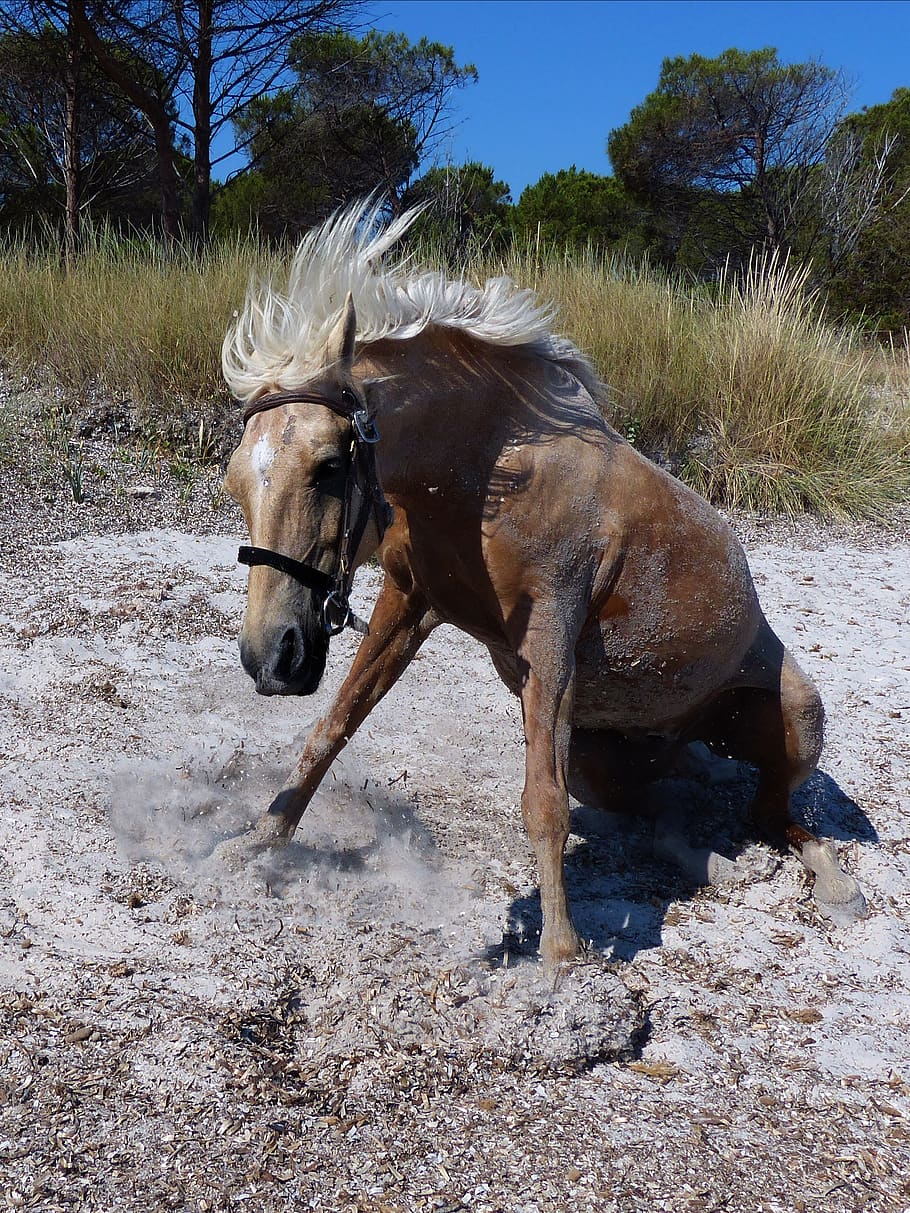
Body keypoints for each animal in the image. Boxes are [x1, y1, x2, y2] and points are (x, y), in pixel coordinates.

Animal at [220, 201, 868, 965]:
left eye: (327, 467)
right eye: (234, 482)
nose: (271, 658)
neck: (491, 467)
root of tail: (683, 739)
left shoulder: (550, 631)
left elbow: (543, 803)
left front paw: (559, 956)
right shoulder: (409, 603)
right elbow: (333, 727)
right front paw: (259, 840)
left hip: (799, 719)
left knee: (776, 817)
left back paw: (835, 884)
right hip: (607, 763)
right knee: (669, 813)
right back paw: (715, 862)